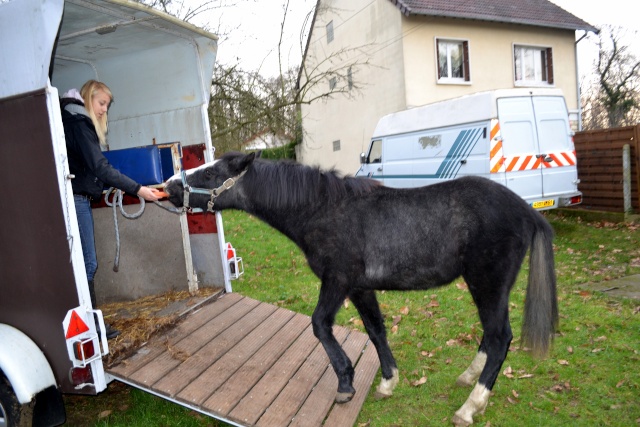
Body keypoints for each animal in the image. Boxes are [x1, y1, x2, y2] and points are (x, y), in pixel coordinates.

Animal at [166, 152, 560, 426]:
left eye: (212, 173)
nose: (169, 186)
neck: (322, 210)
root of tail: (527, 210)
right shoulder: (358, 288)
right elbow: (376, 330)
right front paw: (388, 381)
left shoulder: (336, 282)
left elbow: (320, 325)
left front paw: (345, 384)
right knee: (491, 336)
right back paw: (466, 378)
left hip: (487, 283)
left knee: (499, 337)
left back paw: (470, 406)